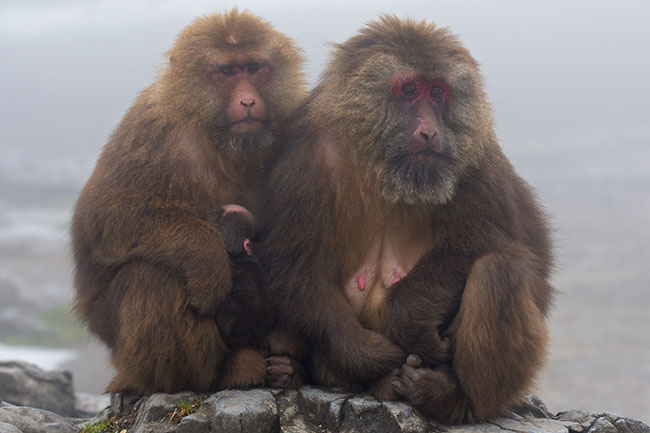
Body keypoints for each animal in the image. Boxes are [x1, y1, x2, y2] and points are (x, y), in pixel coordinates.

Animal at [70, 9, 306, 395]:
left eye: (254, 67)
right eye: (226, 72)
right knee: (152, 276)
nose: (248, 101)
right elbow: (109, 218)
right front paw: (207, 259)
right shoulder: (152, 131)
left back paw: (287, 368)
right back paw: (218, 375)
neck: (219, 136)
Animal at [257, 16, 554, 424]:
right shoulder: (304, 158)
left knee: (499, 269)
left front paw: (411, 320)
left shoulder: (474, 157)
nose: (430, 131)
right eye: (410, 90)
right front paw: (372, 354)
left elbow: (485, 243)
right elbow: (294, 268)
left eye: (438, 92)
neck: (386, 166)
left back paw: (453, 398)